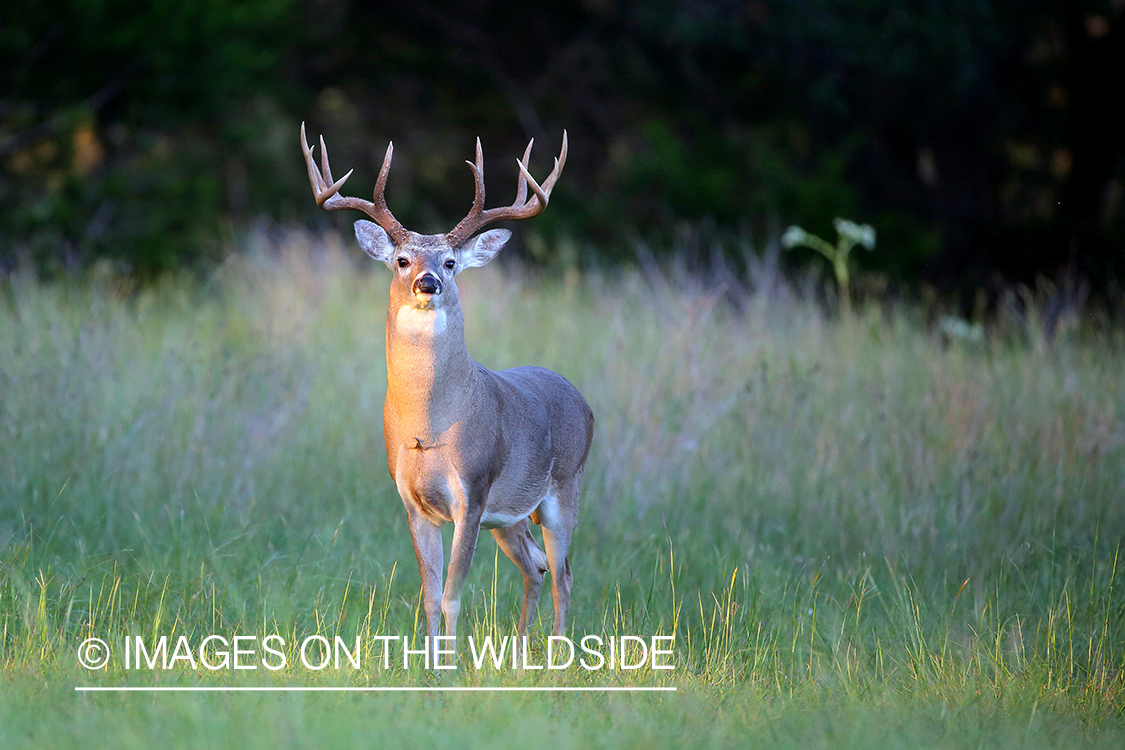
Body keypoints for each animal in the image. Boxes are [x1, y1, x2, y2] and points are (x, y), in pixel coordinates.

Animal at [299, 124, 598, 670]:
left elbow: (454, 593)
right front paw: (429, 669)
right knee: (537, 567)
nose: (428, 281)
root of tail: (583, 402)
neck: (430, 424)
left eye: (451, 260)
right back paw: (518, 656)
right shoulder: (413, 500)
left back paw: (557, 659)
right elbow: (430, 594)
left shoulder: (472, 493)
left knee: (564, 573)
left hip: (564, 487)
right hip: (510, 514)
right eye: (402, 259)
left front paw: (453, 668)